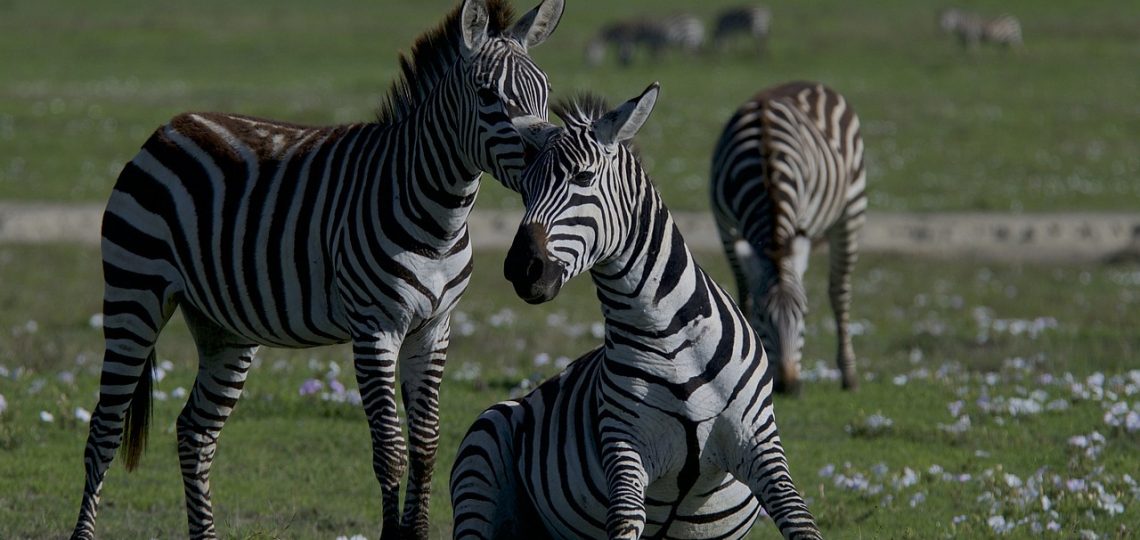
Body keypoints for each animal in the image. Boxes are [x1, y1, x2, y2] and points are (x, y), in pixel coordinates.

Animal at [67, 1, 565, 540]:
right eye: (487, 95)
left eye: (546, 92)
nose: (548, 161)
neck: (438, 217)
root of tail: (170, 127)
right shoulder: (374, 329)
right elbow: (390, 449)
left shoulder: (434, 328)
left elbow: (427, 444)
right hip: (134, 292)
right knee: (105, 429)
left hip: (224, 326)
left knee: (194, 431)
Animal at [446, 82, 820, 537]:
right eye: (524, 189)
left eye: (583, 177)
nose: (520, 268)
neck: (670, 337)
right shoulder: (624, 447)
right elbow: (625, 520)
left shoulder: (760, 441)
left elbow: (799, 517)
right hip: (481, 455)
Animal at [706, 81, 866, 391]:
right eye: (760, 315)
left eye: (804, 314)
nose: (789, 386)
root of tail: (809, 83)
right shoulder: (724, 228)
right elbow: (744, 291)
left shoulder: (800, 220)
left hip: (852, 209)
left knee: (839, 291)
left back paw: (849, 375)